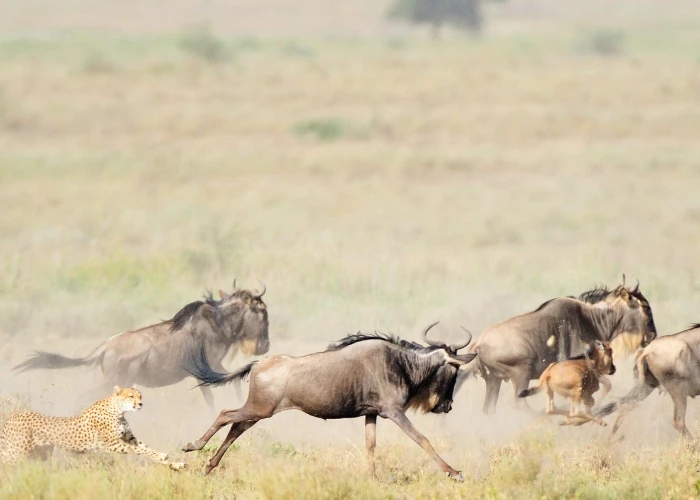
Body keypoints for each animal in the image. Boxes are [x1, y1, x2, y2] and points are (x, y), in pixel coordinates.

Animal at [0, 384, 186, 470]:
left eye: (140, 396)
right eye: (131, 396)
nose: (141, 404)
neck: (118, 410)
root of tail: (12, 416)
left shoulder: (129, 438)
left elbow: (147, 448)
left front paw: (173, 463)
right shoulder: (113, 444)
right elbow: (140, 450)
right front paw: (163, 457)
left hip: (40, 454)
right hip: (17, 453)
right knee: (4, 460)